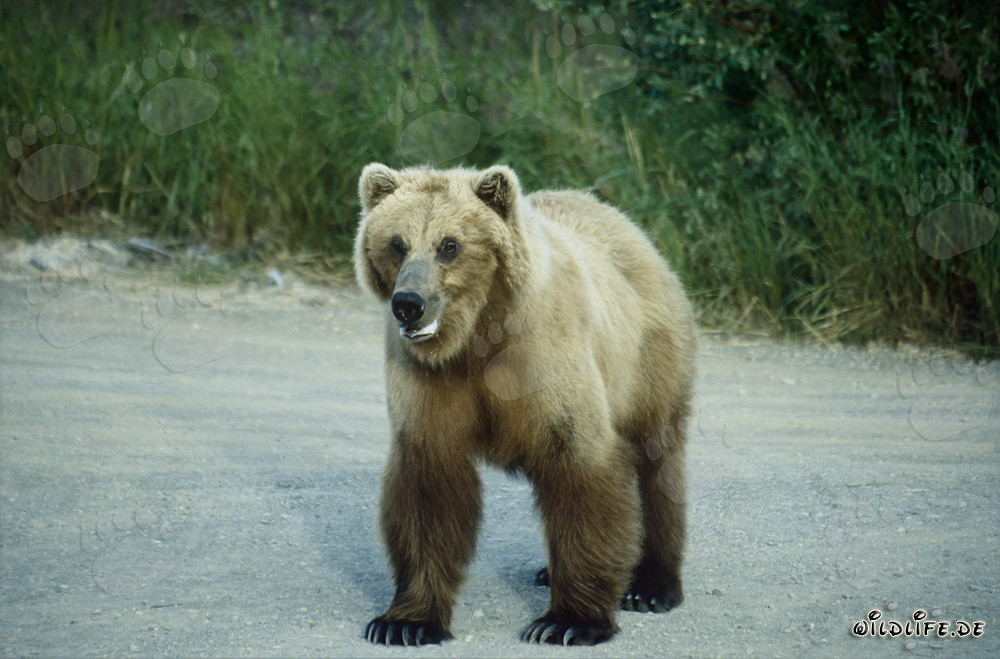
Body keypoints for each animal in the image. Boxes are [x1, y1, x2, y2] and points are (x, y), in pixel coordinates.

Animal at [353, 163, 696, 646]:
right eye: (396, 244)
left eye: (450, 245)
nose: (409, 304)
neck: (476, 336)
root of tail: (630, 227)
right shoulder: (431, 384)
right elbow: (427, 488)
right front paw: (404, 623)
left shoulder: (544, 363)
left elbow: (581, 469)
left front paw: (567, 621)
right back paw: (548, 571)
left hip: (647, 362)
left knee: (657, 462)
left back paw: (651, 586)